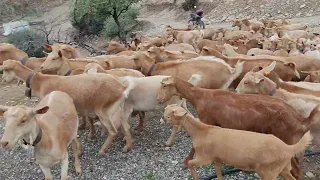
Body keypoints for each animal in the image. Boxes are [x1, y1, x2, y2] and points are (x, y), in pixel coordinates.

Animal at [0, 59, 134, 154]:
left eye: (5, 70)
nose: (4, 79)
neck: (40, 82)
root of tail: (121, 87)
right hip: (117, 108)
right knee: (126, 125)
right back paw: (127, 146)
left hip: (103, 111)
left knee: (113, 131)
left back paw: (102, 150)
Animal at [164, 104, 312, 180]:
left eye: (168, 116)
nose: (161, 120)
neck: (201, 131)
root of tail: (288, 148)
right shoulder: (218, 158)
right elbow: (218, 173)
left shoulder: (205, 157)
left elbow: (190, 163)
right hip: (284, 168)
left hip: (268, 172)